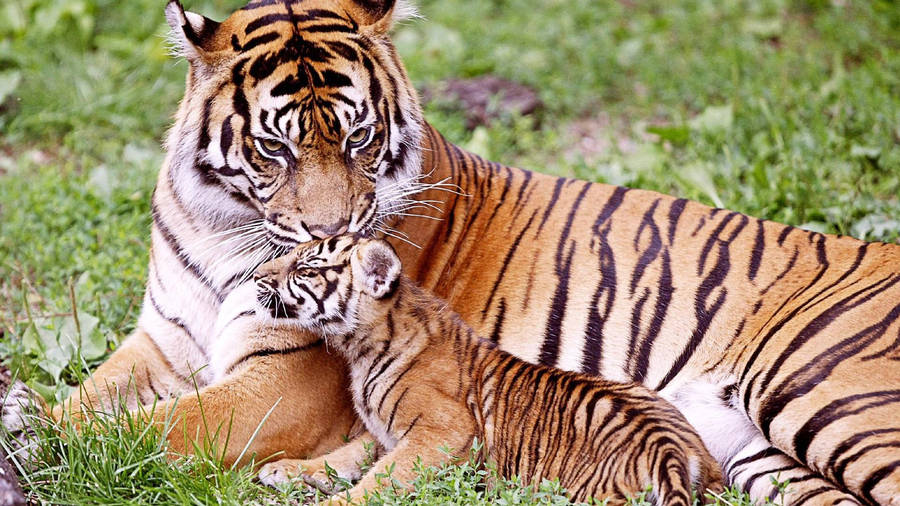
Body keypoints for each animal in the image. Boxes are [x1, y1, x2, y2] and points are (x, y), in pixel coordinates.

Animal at [232, 234, 723, 505]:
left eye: (305, 268)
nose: (257, 276)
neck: (361, 346)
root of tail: (670, 448)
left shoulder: (442, 431)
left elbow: (381, 477)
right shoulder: (381, 433)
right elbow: (345, 456)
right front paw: (287, 470)